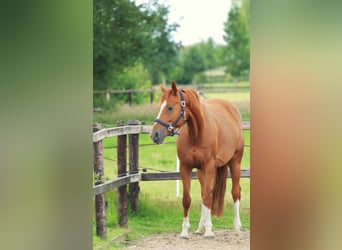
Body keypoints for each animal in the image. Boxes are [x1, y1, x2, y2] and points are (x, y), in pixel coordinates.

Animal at [150, 81, 243, 238]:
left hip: (235, 163)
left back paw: (236, 227)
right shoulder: (185, 168)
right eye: (159, 107)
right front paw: (185, 231)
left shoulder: (209, 167)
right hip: (201, 172)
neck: (197, 133)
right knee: (205, 193)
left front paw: (209, 231)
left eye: (170, 107)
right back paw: (201, 227)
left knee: (235, 192)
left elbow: (207, 198)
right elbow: (188, 199)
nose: (155, 135)